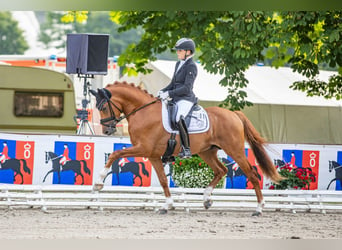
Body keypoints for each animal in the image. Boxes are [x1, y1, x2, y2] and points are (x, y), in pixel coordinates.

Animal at [89, 81, 282, 216]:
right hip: (207, 151)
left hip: (234, 150)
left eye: (103, 107)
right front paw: (167, 205)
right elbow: (163, 180)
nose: (107, 131)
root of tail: (234, 114)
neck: (142, 112)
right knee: (221, 170)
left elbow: (115, 153)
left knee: (252, 174)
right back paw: (206, 199)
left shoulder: (143, 148)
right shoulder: (152, 155)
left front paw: (98, 182)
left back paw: (259, 208)